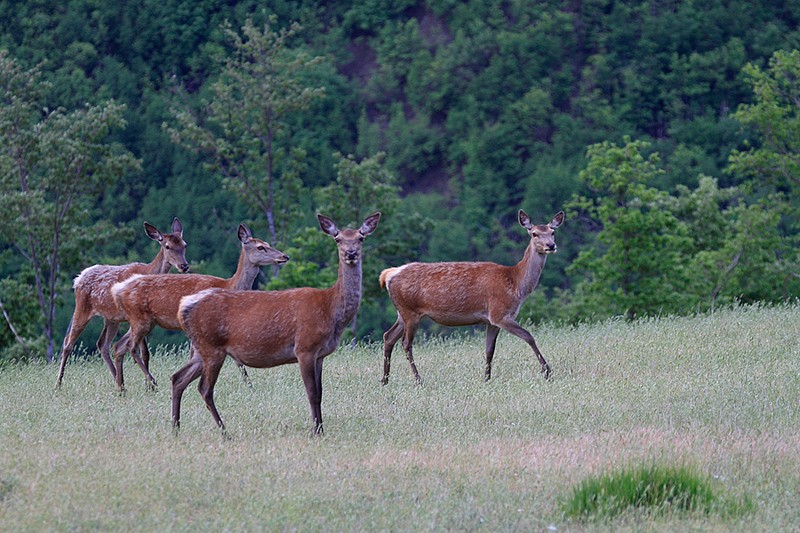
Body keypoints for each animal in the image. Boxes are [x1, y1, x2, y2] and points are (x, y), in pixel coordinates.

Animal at [55, 218, 191, 388]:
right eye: (167, 246)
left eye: (184, 244)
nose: (184, 265)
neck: (149, 272)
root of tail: (78, 279)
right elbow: (140, 350)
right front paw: (149, 384)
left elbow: (145, 352)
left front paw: (146, 385)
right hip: (82, 308)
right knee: (68, 344)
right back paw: (58, 384)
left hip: (111, 318)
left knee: (102, 344)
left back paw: (118, 382)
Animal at [110, 223, 288, 390]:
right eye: (260, 247)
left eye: (266, 243)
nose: (284, 256)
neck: (229, 285)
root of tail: (118, 290)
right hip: (140, 319)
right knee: (130, 346)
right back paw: (152, 383)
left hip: (143, 321)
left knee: (119, 346)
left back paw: (122, 388)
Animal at [171, 210, 382, 434]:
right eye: (338, 239)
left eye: (361, 237)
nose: (350, 253)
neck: (330, 309)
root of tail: (184, 306)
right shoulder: (304, 347)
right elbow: (312, 393)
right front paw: (316, 432)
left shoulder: (320, 355)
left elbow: (320, 394)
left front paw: (320, 429)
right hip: (211, 347)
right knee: (204, 389)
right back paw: (224, 432)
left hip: (201, 348)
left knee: (178, 378)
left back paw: (175, 428)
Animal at [380, 210, 564, 384]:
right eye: (534, 233)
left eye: (553, 232)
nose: (551, 245)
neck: (515, 283)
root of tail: (388, 275)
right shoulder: (499, 313)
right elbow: (528, 336)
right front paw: (547, 372)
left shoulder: (491, 321)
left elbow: (489, 350)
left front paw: (486, 379)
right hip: (410, 311)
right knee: (406, 343)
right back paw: (418, 380)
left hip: (402, 312)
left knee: (388, 336)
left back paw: (385, 380)